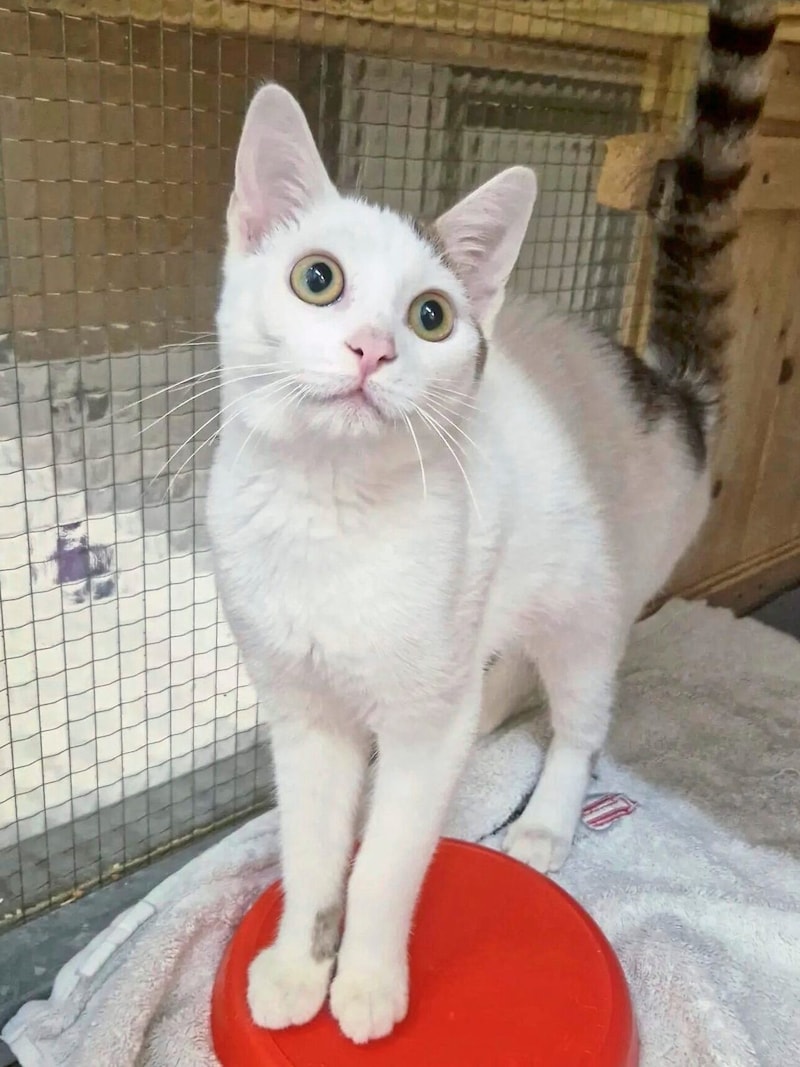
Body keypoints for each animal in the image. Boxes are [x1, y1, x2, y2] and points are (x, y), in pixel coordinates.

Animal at [208, 0, 776, 1045]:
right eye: (318, 279)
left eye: (432, 316)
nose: (373, 348)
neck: (330, 516)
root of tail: (670, 393)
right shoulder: (303, 711)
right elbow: (313, 848)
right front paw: (298, 963)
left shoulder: (422, 712)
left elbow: (389, 862)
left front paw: (366, 980)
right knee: (502, 676)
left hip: (592, 604)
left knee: (581, 719)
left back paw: (547, 817)